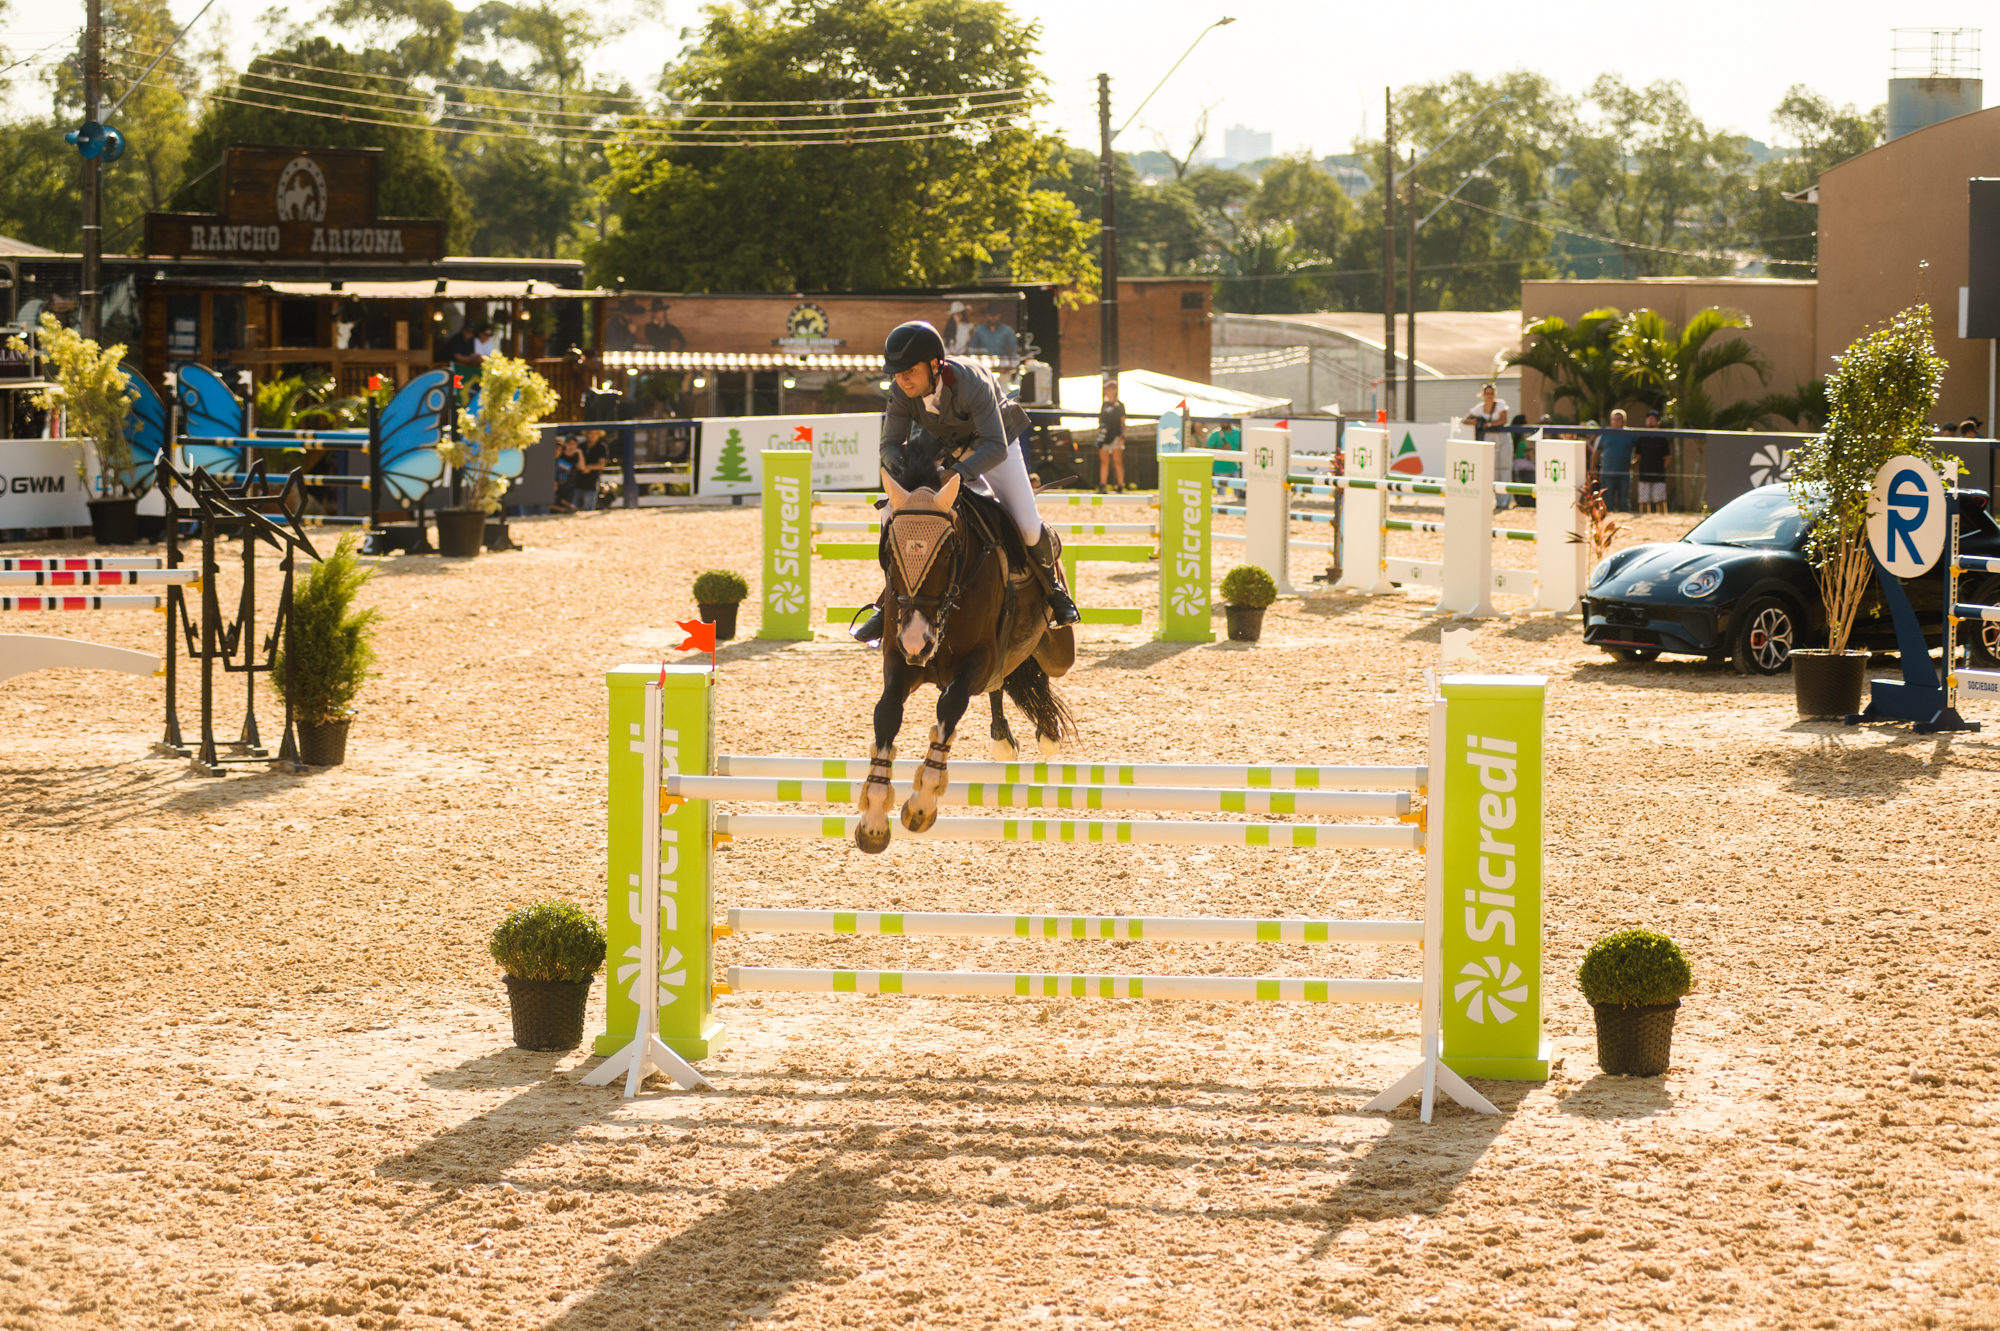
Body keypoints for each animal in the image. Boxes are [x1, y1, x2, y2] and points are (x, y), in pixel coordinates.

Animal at [860, 461, 1080, 851]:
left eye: (947, 553)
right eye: (888, 554)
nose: (917, 641)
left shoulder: (978, 659)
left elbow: (950, 705)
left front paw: (922, 803)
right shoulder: (900, 660)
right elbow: (886, 713)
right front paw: (873, 816)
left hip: (1056, 649)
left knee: (1035, 670)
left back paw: (1045, 731)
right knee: (1004, 681)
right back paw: (1003, 737)